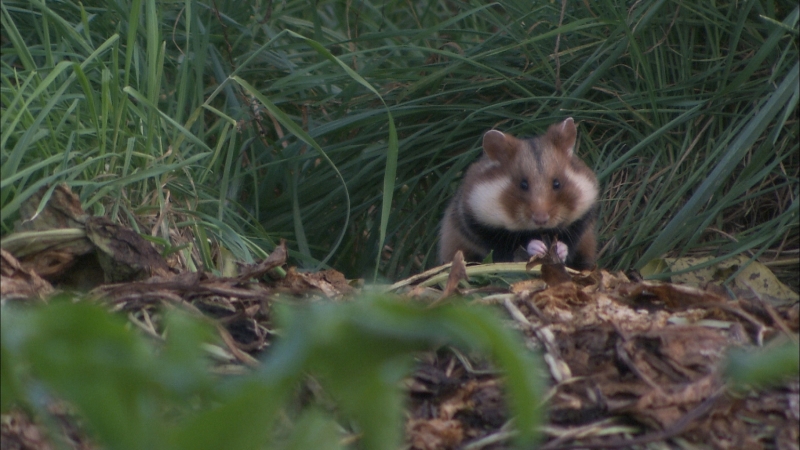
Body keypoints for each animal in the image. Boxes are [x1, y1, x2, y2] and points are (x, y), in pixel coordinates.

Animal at [438, 118, 599, 270]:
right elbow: (511, 248)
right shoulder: (483, 229)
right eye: (523, 184)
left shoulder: (581, 221)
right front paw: (538, 247)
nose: (541, 220)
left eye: (557, 183)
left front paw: (559, 248)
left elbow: (569, 242)